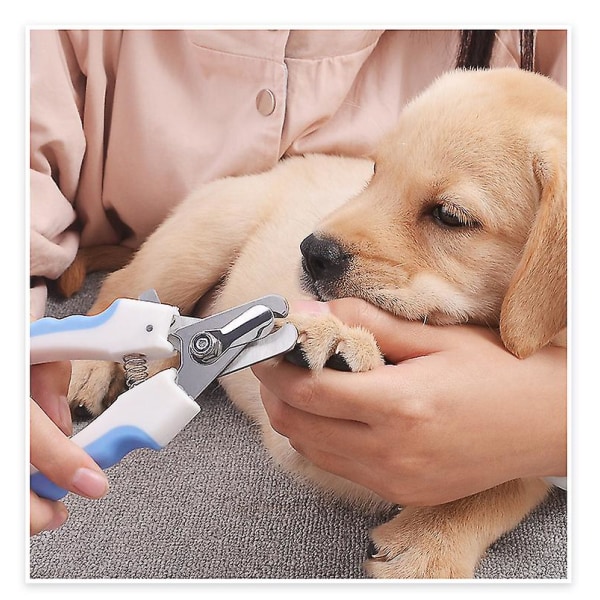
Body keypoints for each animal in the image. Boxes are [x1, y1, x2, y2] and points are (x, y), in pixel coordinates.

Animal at [63, 68, 564, 580]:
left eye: (449, 216)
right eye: (374, 173)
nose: (311, 252)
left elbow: (501, 488)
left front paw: (427, 548)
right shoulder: (294, 439)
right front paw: (340, 341)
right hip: (198, 243)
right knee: (122, 289)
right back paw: (92, 369)